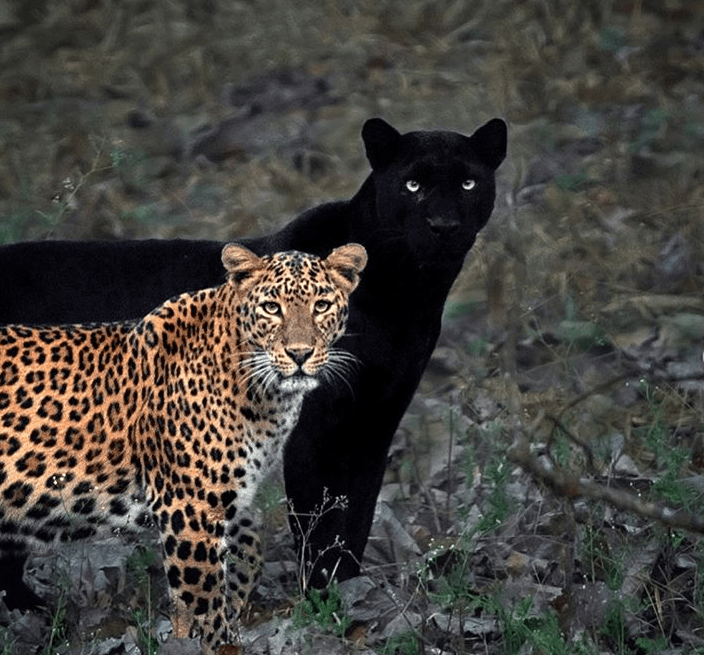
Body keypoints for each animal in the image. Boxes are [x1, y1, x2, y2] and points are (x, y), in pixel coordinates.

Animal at [0, 242, 367, 654]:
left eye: (321, 305)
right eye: (272, 307)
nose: (300, 354)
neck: (264, 395)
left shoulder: (226, 495)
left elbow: (249, 551)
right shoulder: (190, 506)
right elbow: (205, 600)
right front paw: (216, 642)